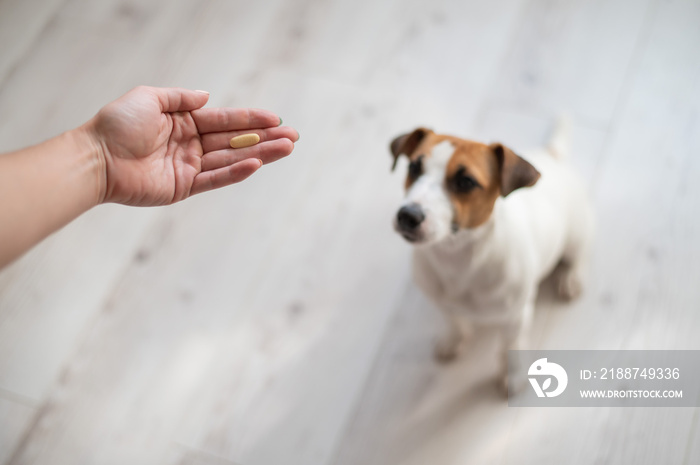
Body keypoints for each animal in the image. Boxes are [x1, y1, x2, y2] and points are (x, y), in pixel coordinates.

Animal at [392, 118, 592, 388]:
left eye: (466, 182)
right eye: (413, 167)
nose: (407, 215)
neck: (457, 258)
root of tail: (552, 155)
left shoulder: (516, 317)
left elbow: (511, 346)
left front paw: (512, 375)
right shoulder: (443, 304)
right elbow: (454, 322)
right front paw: (453, 340)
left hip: (576, 234)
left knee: (577, 256)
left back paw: (570, 278)